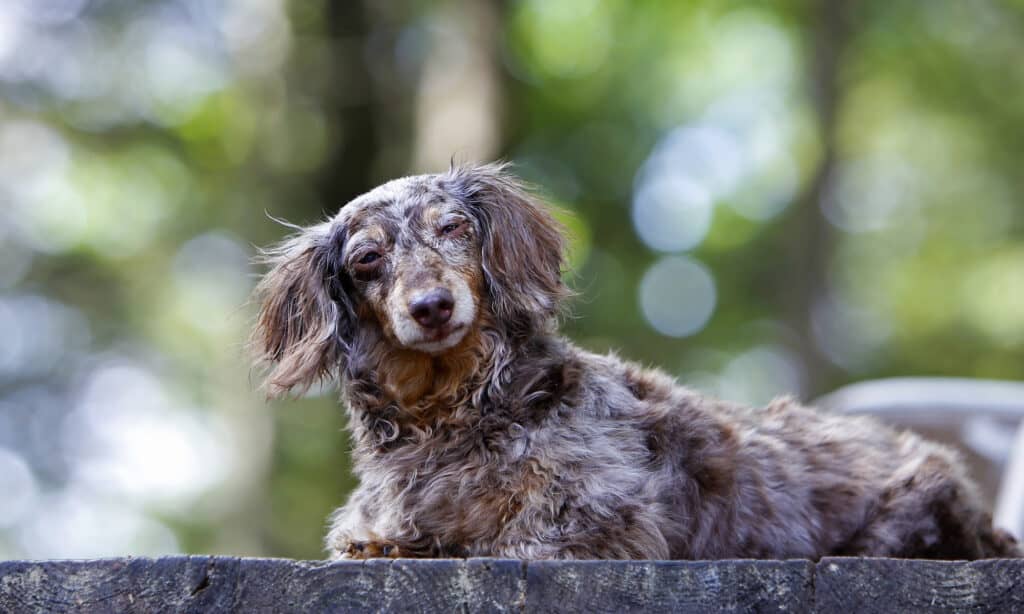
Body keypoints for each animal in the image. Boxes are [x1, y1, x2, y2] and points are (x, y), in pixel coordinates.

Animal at [251, 162, 1019, 560]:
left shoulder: (602, 519)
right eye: (367, 259)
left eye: (455, 228)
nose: (432, 306)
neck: (453, 416)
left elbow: (503, 542)